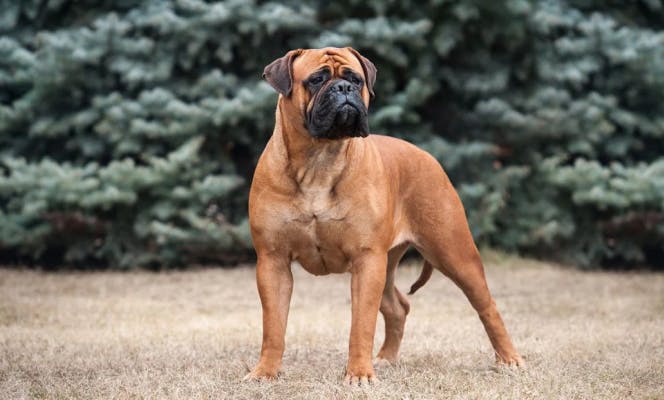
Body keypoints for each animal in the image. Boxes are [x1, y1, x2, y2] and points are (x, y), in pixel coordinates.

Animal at [244, 47, 524, 384]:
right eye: (316, 80)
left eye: (356, 79)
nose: (343, 89)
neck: (318, 161)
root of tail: (427, 156)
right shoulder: (273, 261)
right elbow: (273, 326)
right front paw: (265, 372)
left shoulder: (367, 260)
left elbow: (361, 325)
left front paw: (359, 375)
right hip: (390, 262)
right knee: (397, 307)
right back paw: (387, 358)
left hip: (454, 253)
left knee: (487, 306)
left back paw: (509, 359)